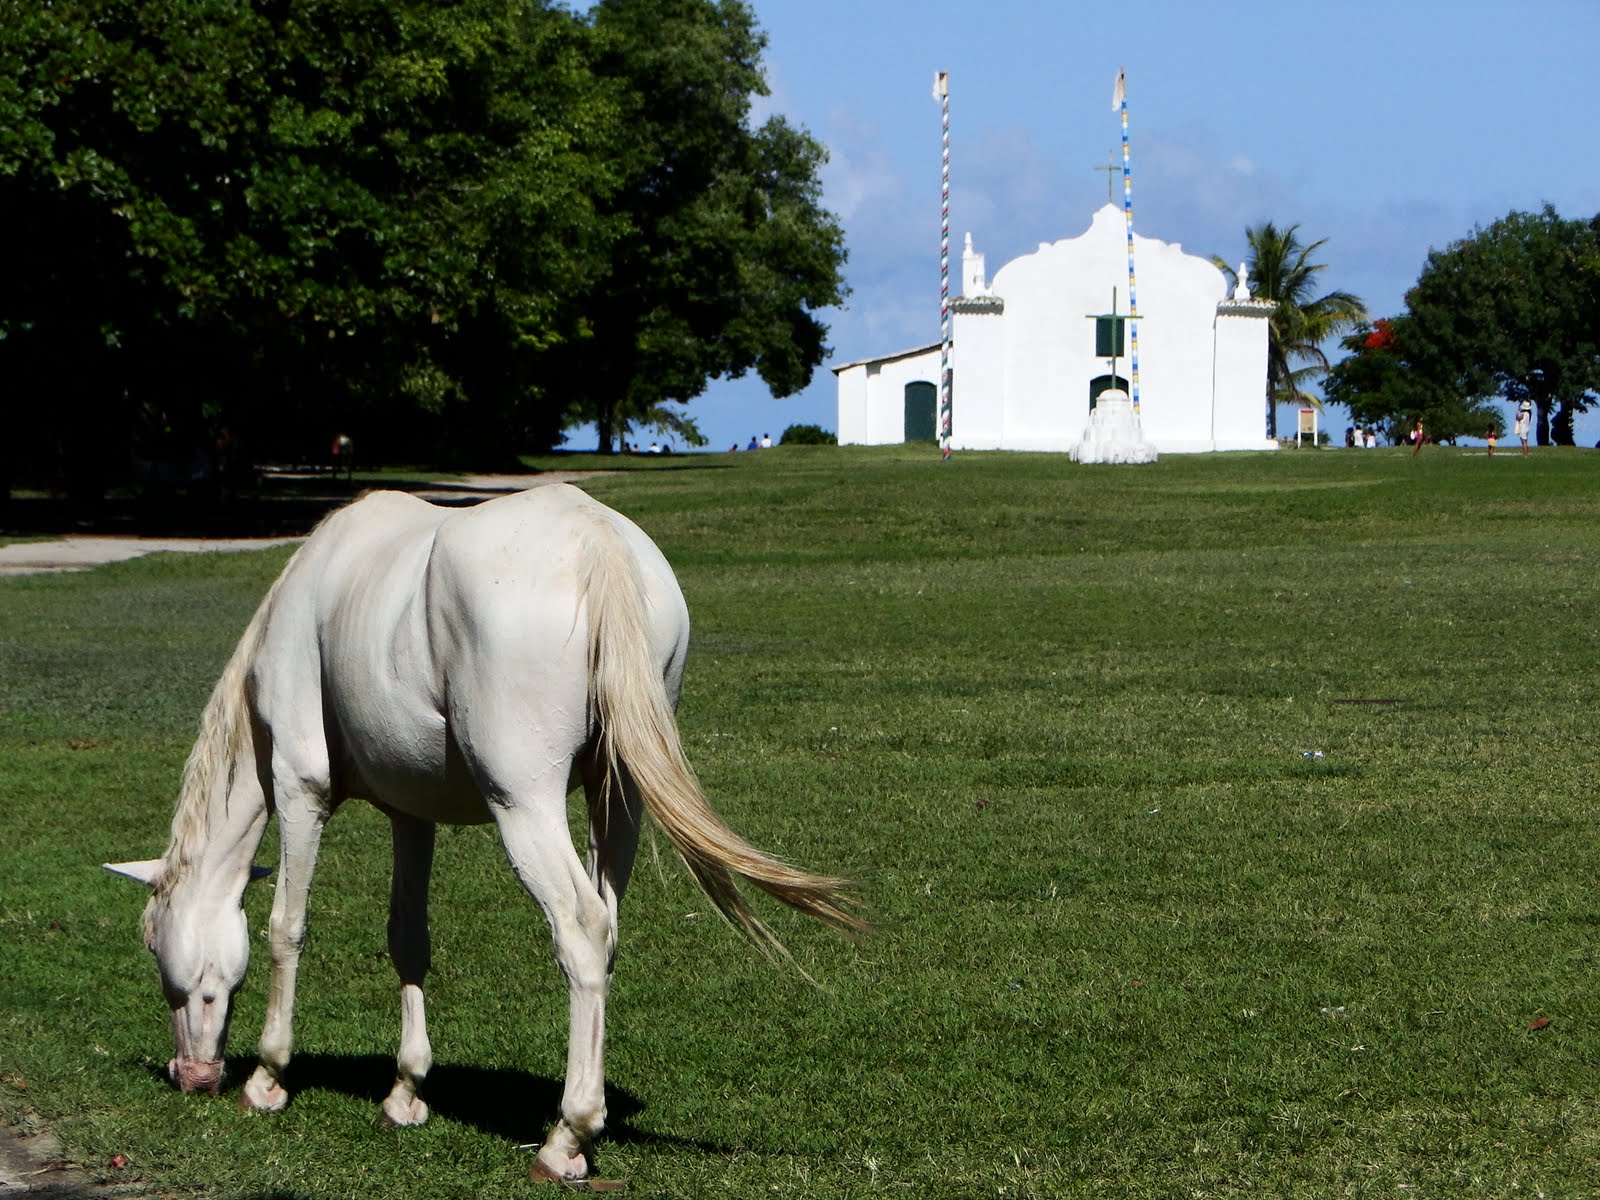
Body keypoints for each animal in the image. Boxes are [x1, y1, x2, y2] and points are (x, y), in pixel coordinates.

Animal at [104, 486, 857, 1184]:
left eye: (153, 942)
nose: (192, 1075)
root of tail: (598, 540)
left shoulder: (299, 789)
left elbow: (286, 928)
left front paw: (267, 1080)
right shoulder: (411, 814)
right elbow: (408, 939)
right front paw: (406, 1091)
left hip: (524, 804)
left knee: (581, 928)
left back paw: (565, 1138)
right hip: (619, 800)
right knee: (607, 929)